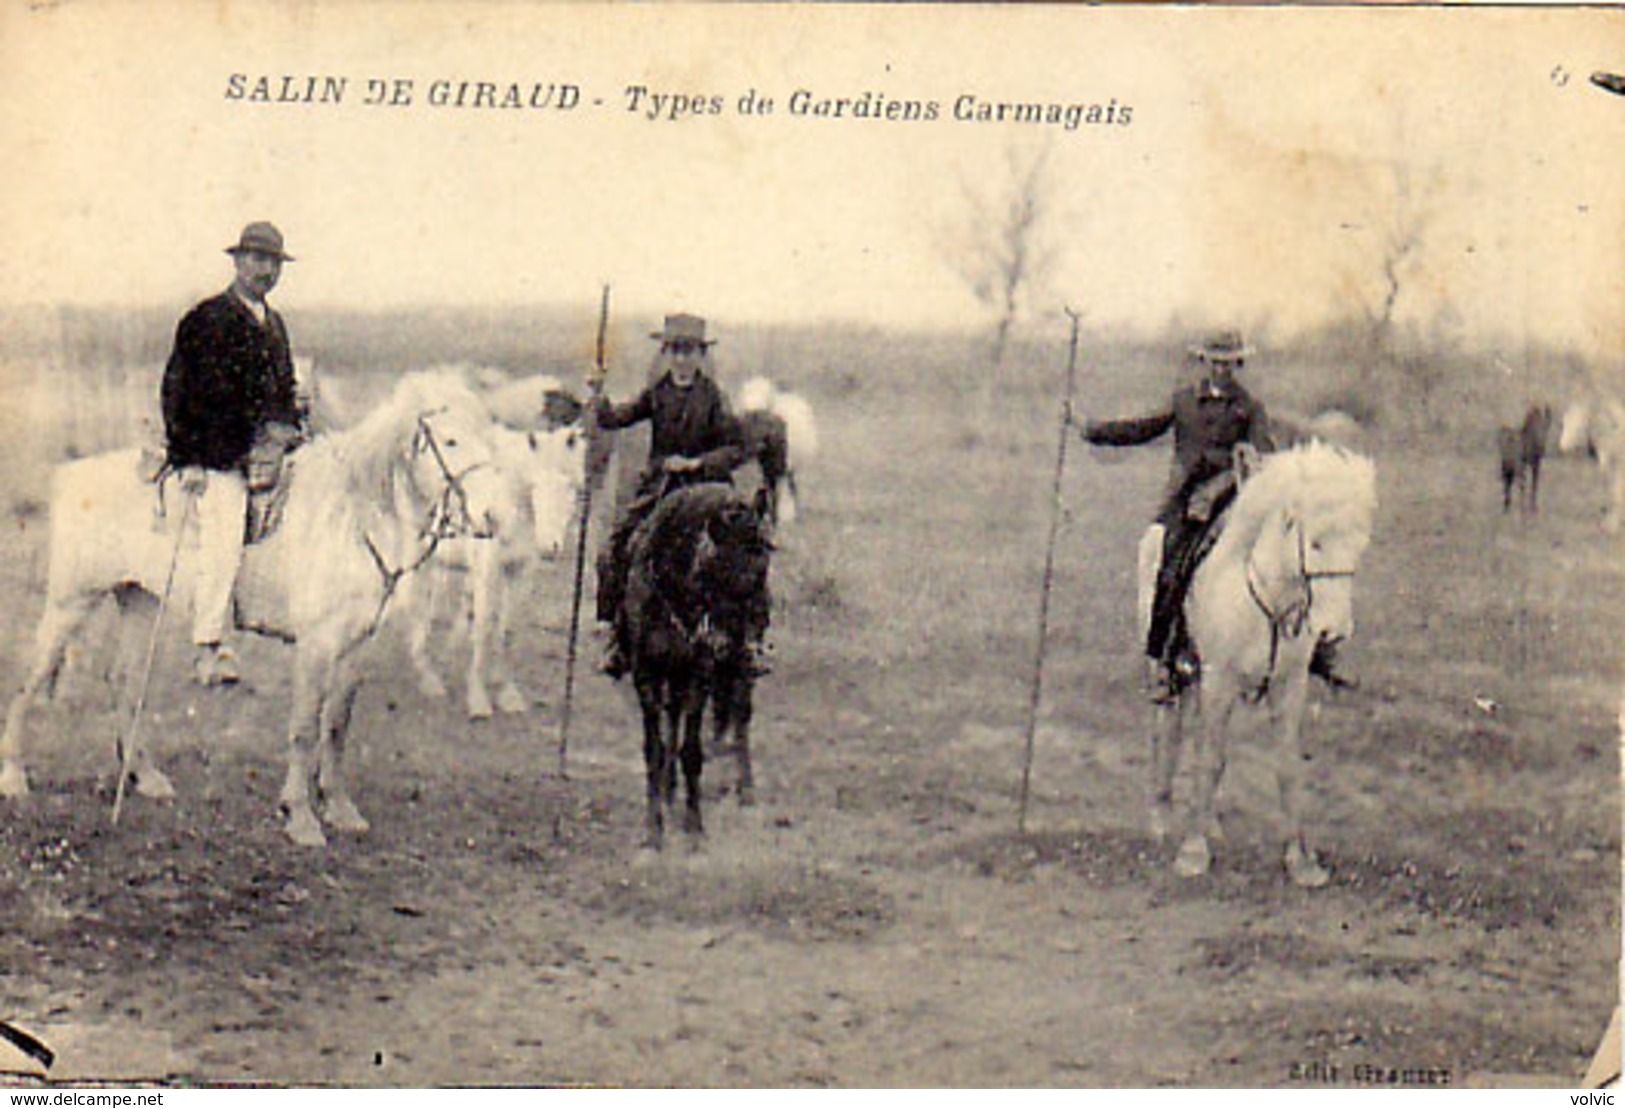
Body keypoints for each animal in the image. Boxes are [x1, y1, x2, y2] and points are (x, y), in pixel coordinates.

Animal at [0, 370, 503, 844]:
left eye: (486, 435)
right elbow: (305, 727)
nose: (494, 517)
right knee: (31, 679)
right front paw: (300, 817)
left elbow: (337, 725)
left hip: (140, 599)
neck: (351, 519)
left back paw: (147, 777)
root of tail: (72, 474)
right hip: (72, 600)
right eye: (451, 440)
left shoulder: (359, 645)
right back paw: (14, 776)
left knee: (123, 679)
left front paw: (341, 809)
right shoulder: (317, 644)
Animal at [620, 480, 773, 844]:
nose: (733, 643)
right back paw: (669, 789)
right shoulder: (646, 674)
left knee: (741, 717)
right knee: (673, 718)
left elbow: (692, 751)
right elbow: (655, 748)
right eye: (713, 568)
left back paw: (745, 790)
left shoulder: (698, 675)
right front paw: (654, 831)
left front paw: (694, 829)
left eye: (764, 565)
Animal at [1137, 438, 1378, 877]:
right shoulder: (1219, 679)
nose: (1334, 630)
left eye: (1359, 545)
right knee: (1167, 733)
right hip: (1168, 672)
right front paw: (1193, 852)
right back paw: (1161, 820)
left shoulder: (1288, 686)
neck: (1270, 601)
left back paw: (1210, 823)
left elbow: (1286, 766)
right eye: (1316, 542)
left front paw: (1299, 860)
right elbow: (1210, 759)